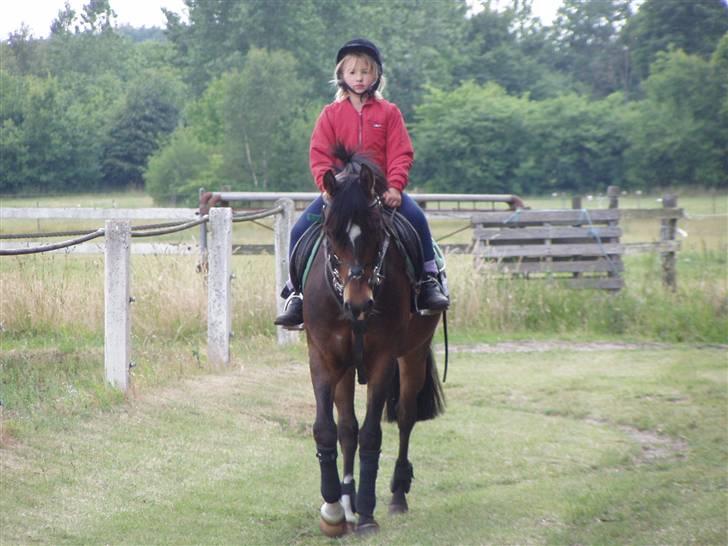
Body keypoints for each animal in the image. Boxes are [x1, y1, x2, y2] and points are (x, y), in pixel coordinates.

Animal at [302, 147, 444, 532]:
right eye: (331, 233)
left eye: (375, 229)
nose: (359, 302)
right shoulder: (324, 357)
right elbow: (329, 429)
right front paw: (334, 506)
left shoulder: (383, 360)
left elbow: (371, 434)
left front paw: (365, 512)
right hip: (348, 367)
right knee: (347, 428)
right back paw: (346, 502)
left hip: (413, 355)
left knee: (406, 417)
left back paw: (397, 495)